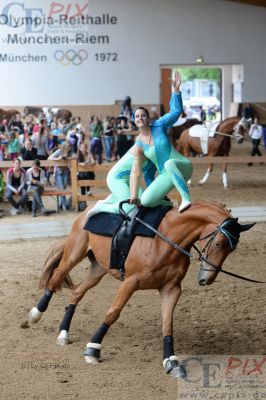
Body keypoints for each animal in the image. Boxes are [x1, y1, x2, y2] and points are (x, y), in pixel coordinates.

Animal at [27, 202, 254, 380]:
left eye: (232, 249)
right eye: (218, 243)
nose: (205, 279)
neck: (166, 238)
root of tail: (87, 211)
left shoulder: (171, 289)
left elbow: (167, 324)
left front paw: (172, 362)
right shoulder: (130, 282)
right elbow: (113, 313)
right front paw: (93, 349)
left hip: (98, 269)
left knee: (77, 293)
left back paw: (63, 332)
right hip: (74, 254)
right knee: (55, 279)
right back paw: (35, 315)